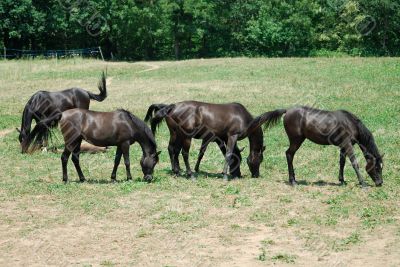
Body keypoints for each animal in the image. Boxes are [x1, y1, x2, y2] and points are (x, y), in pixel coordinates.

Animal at [27, 108, 161, 182]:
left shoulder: (119, 145)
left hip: (77, 142)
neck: (129, 123)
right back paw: (65, 179)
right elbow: (127, 162)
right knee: (64, 158)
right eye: (154, 162)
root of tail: (62, 114)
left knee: (75, 159)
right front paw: (129, 178)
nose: (149, 179)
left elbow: (117, 161)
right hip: (71, 142)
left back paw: (83, 179)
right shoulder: (125, 144)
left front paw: (113, 178)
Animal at [145, 101, 282, 181]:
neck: (243, 117)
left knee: (173, 150)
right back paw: (190, 174)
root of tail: (172, 106)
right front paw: (225, 175)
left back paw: (177, 171)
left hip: (176, 134)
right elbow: (228, 154)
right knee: (184, 153)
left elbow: (224, 153)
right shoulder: (232, 136)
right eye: (260, 159)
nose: (256, 175)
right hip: (185, 137)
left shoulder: (221, 139)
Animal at [248, 107, 382, 188]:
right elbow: (354, 163)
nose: (380, 183)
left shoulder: (343, 147)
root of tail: (287, 111)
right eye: (376, 167)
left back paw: (294, 179)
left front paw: (342, 180)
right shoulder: (347, 145)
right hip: (296, 140)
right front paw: (363, 183)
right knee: (289, 154)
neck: (349, 123)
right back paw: (293, 181)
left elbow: (342, 163)